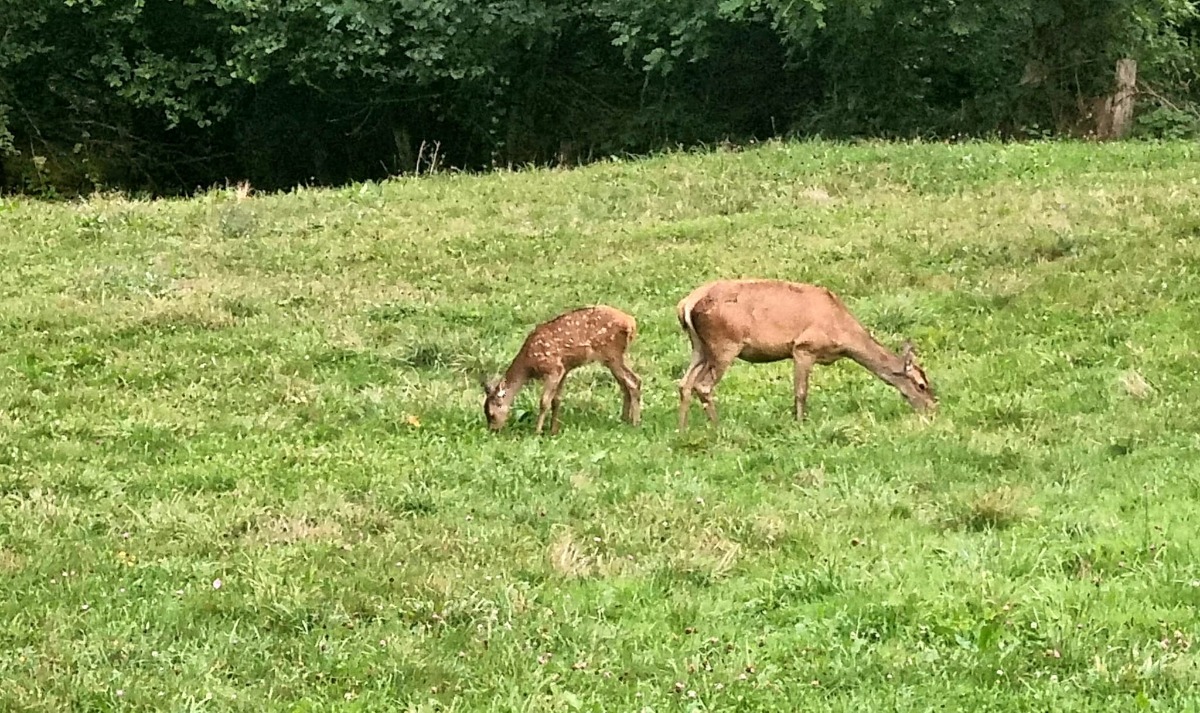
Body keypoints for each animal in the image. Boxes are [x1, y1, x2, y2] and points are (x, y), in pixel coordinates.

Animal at [480, 301, 643, 429]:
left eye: (491, 414)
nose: (493, 430)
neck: (528, 366)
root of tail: (632, 322)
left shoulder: (553, 367)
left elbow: (544, 401)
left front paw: (537, 432)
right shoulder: (564, 368)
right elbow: (556, 400)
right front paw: (553, 430)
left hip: (611, 352)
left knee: (633, 381)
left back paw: (634, 423)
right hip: (616, 356)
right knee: (626, 384)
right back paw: (624, 419)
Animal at [676, 278, 936, 427]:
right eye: (921, 384)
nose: (933, 408)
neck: (843, 334)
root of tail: (686, 304)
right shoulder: (804, 347)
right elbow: (801, 392)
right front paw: (801, 423)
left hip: (699, 347)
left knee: (684, 383)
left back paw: (683, 429)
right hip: (725, 343)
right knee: (703, 385)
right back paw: (716, 427)